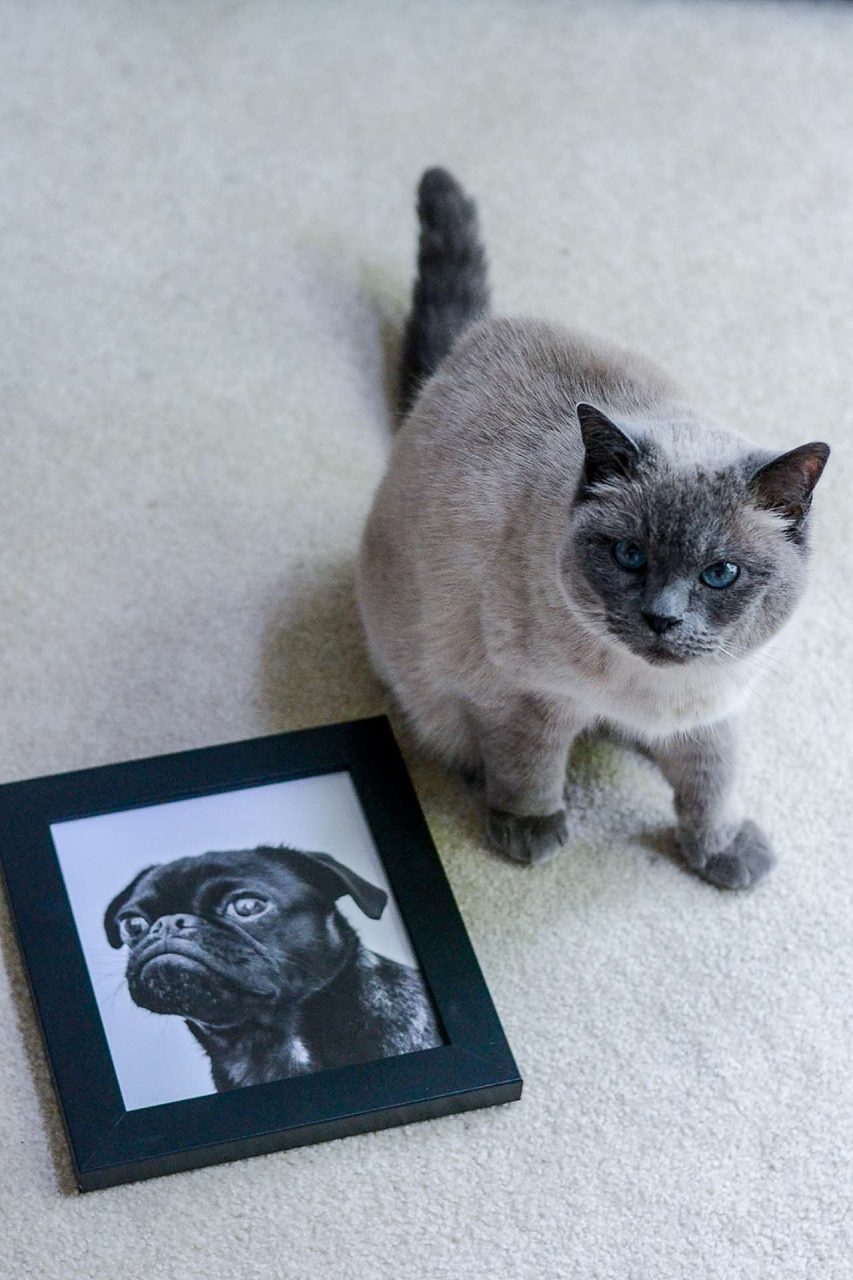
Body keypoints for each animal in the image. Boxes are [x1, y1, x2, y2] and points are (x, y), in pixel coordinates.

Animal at [356, 167, 824, 890]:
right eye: (629, 556)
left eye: (719, 574)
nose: (662, 618)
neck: (645, 691)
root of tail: (474, 339)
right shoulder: (522, 697)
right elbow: (529, 766)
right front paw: (530, 829)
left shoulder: (710, 711)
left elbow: (710, 783)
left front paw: (720, 852)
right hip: (422, 668)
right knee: (459, 736)